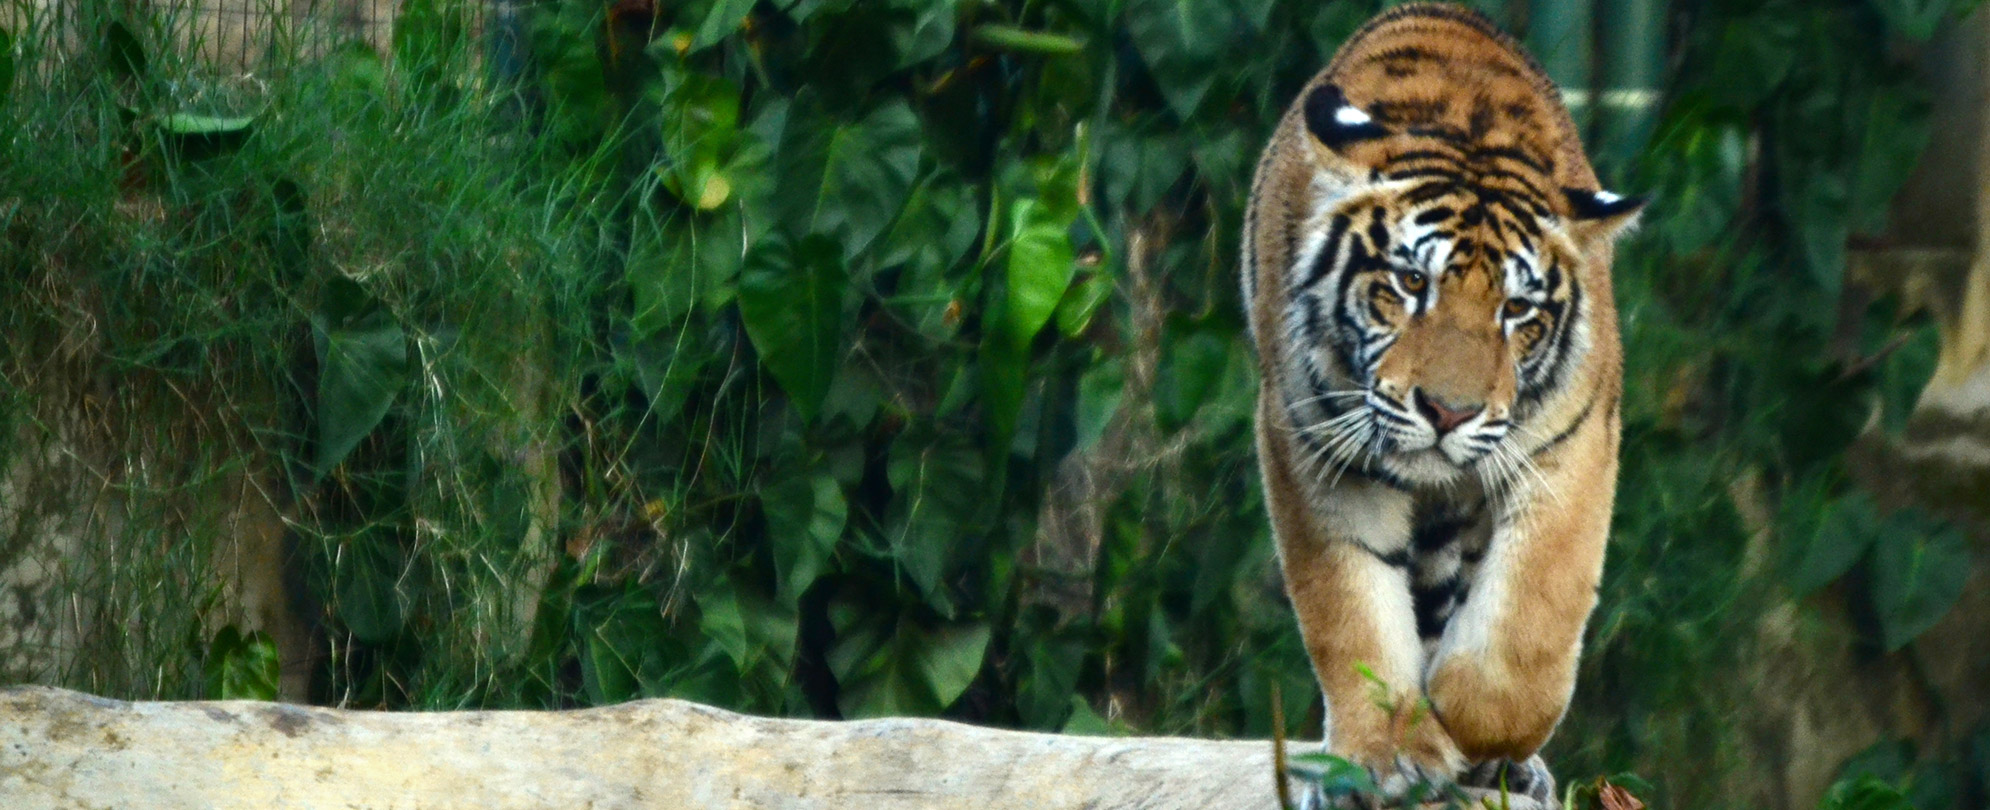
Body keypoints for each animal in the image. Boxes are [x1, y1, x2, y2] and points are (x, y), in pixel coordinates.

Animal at [1241, 3, 1647, 808]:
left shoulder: (1572, 447)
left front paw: (1469, 726)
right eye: (1408, 283)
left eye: (1516, 310)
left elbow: (1530, 627)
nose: (1448, 413)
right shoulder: (1315, 446)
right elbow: (1350, 610)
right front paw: (1386, 754)